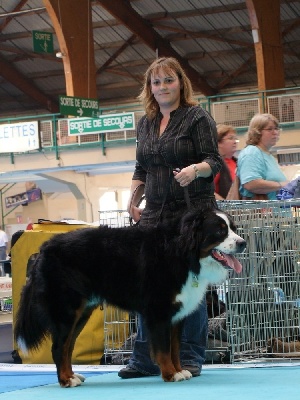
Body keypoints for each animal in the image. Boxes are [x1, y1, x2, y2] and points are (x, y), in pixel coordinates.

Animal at [14, 208, 246, 386]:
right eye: (219, 230)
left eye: (233, 228)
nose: (242, 243)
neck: (182, 252)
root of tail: (44, 248)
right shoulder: (159, 312)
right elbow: (163, 350)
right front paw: (170, 374)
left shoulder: (176, 315)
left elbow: (175, 348)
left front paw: (180, 370)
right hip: (67, 310)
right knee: (58, 347)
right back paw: (66, 381)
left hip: (81, 312)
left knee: (67, 346)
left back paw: (72, 376)